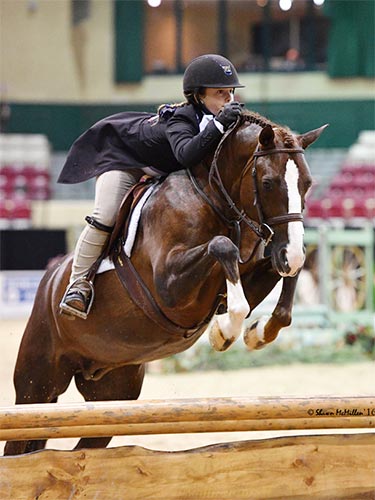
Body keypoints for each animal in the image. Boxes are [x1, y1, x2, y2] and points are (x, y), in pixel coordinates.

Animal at [2, 111, 328, 456]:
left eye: (307, 184)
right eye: (267, 183)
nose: (291, 253)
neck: (212, 196)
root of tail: (49, 282)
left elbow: (279, 285)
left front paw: (257, 332)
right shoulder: (169, 289)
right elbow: (223, 247)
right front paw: (224, 333)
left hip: (112, 394)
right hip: (37, 383)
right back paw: (76, 295)